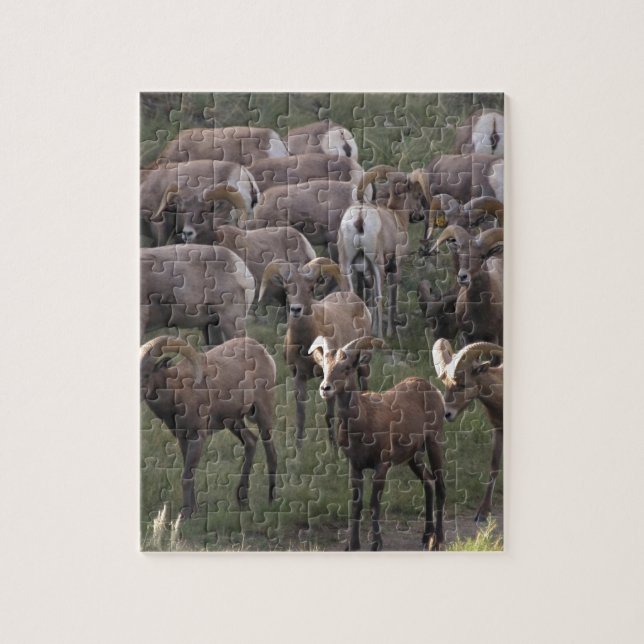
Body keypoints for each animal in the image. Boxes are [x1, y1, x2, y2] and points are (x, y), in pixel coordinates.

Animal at [140, 335, 278, 520]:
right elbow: (189, 474)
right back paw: (242, 501)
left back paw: (271, 501)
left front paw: (185, 515)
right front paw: (194, 511)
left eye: (146, 374)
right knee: (251, 441)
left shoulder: (197, 436)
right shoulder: (183, 438)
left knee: (271, 454)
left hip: (263, 413)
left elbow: (187, 476)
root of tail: (261, 349)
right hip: (233, 421)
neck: (177, 392)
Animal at [258, 258, 371, 449]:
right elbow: (300, 416)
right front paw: (298, 448)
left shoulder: (328, 378)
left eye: (311, 288)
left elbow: (329, 415)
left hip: (363, 365)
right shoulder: (299, 376)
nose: (296, 309)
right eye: (287, 289)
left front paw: (334, 448)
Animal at [309, 336, 446, 551]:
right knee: (428, 482)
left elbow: (374, 503)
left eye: (347, 367)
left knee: (440, 486)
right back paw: (425, 537)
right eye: (324, 366)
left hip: (434, 442)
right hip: (413, 456)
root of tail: (434, 390)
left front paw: (376, 544)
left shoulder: (382, 464)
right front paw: (352, 545)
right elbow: (357, 504)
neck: (362, 424)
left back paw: (438, 540)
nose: (325, 388)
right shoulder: (355, 466)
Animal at [337, 202, 410, 337]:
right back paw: (381, 336)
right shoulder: (394, 269)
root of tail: (360, 216)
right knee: (379, 297)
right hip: (378, 267)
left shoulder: (366, 272)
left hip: (345, 265)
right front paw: (388, 331)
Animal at [433, 339, 503, 521]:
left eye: (462, 384)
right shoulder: (498, 429)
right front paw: (483, 513)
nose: (447, 414)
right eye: (446, 385)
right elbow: (494, 466)